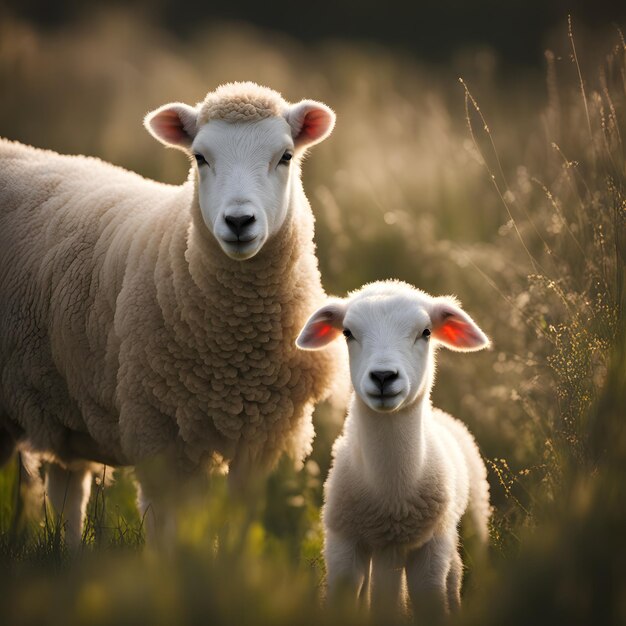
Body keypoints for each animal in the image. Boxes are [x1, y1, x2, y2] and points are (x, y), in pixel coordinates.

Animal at [0, 81, 344, 540]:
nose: (239, 221)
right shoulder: (161, 436)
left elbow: (235, 528)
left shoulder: (263, 440)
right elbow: (173, 534)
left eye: (285, 156)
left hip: (65, 408)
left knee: (67, 499)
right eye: (200, 157)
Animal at [294, 280, 490, 616]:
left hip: (468, 522)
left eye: (426, 332)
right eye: (348, 333)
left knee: (455, 576)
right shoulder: (343, 545)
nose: (384, 376)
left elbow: (428, 601)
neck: (391, 495)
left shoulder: (428, 552)